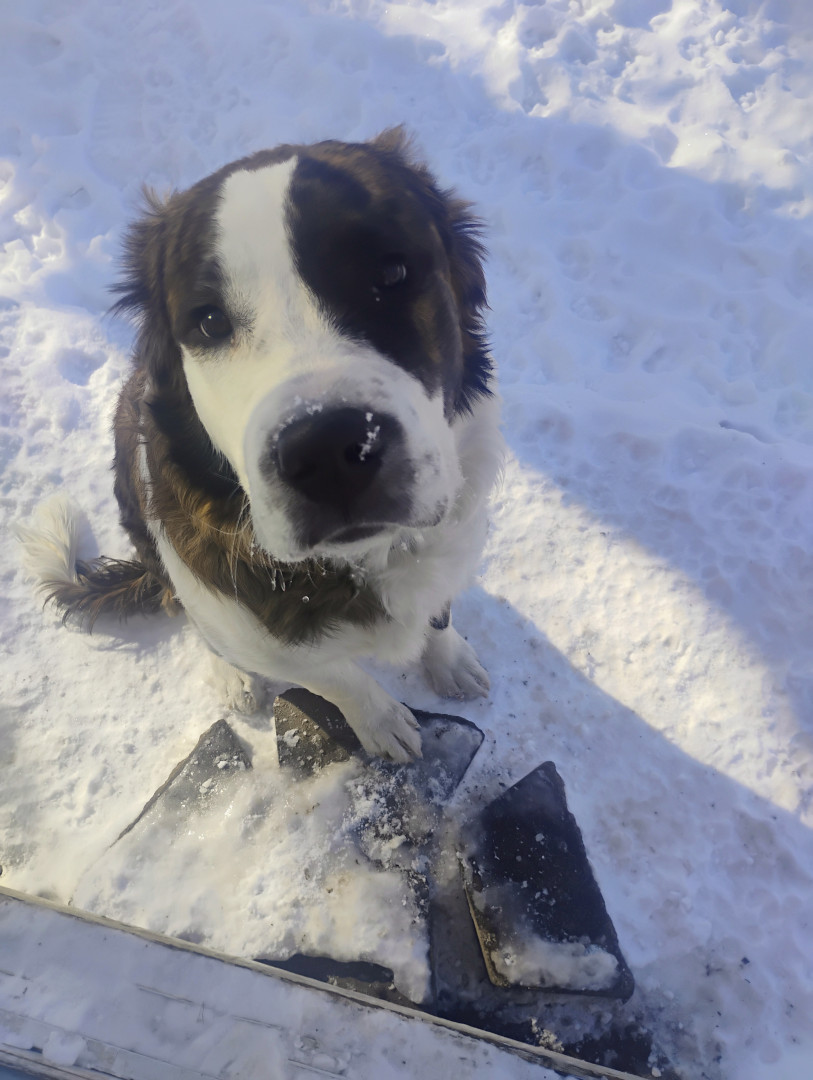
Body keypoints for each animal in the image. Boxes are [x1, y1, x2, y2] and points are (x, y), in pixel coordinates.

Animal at [19, 129, 502, 762]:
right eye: (209, 322)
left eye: (393, 273)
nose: (328, 453)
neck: (355, 563)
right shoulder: (253, 624)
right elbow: (336, 676)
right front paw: (380, 720)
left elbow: (438, 610)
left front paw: (449, 659)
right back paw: (233, 675)